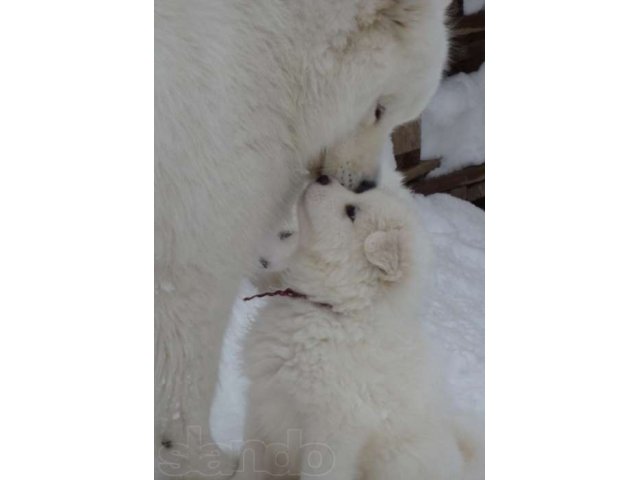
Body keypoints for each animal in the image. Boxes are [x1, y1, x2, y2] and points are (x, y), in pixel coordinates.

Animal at [234, 178, 476, 478]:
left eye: (352, 212)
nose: (323, 177)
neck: (334, 308)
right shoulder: (261, 400)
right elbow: (250, 461)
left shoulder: (332, 432)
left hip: (398, 463)